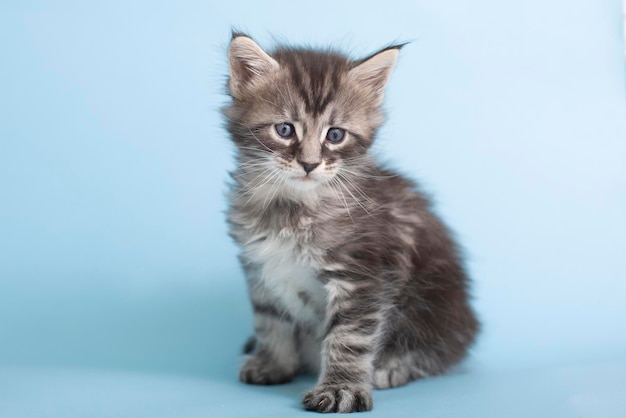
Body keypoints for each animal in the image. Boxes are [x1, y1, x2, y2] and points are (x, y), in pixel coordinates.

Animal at [223, 33, 478, 414]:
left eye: (335, 135)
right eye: (284, 130)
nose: (309, 164)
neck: (293, 206)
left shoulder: (362, 274)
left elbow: (348, 337)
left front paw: (341, 388)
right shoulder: (260, 267)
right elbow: (271, 320)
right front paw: (273, 362)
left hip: (438, 303)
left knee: (440, 350)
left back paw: (392, 367)